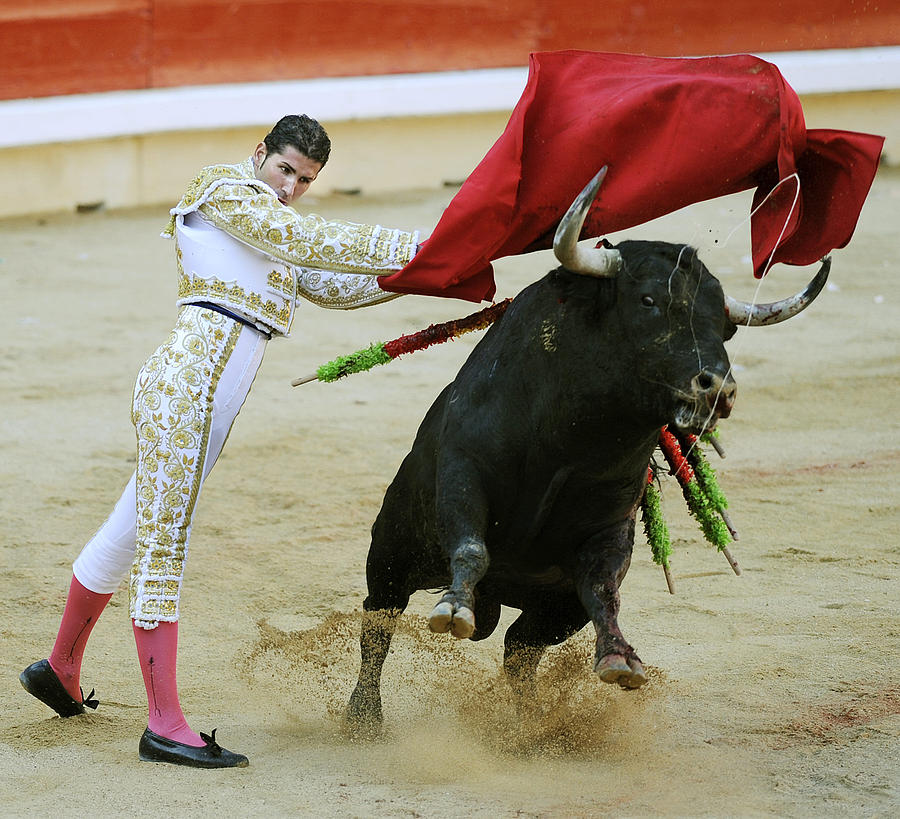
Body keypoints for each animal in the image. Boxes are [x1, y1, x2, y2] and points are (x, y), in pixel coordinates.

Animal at [344, 173, 828, 736]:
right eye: (648, 300)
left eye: (725, 327)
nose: (718, 391)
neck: (569, 442)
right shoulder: (464, 473)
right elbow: (470, 547)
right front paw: (454, 610)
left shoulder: (610, 527)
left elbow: (604, 591)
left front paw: (621, 658)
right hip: (394, 548)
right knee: (380, 619)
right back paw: (364, 715)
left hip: (554, 609)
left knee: (519, 649)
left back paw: (530, 727)